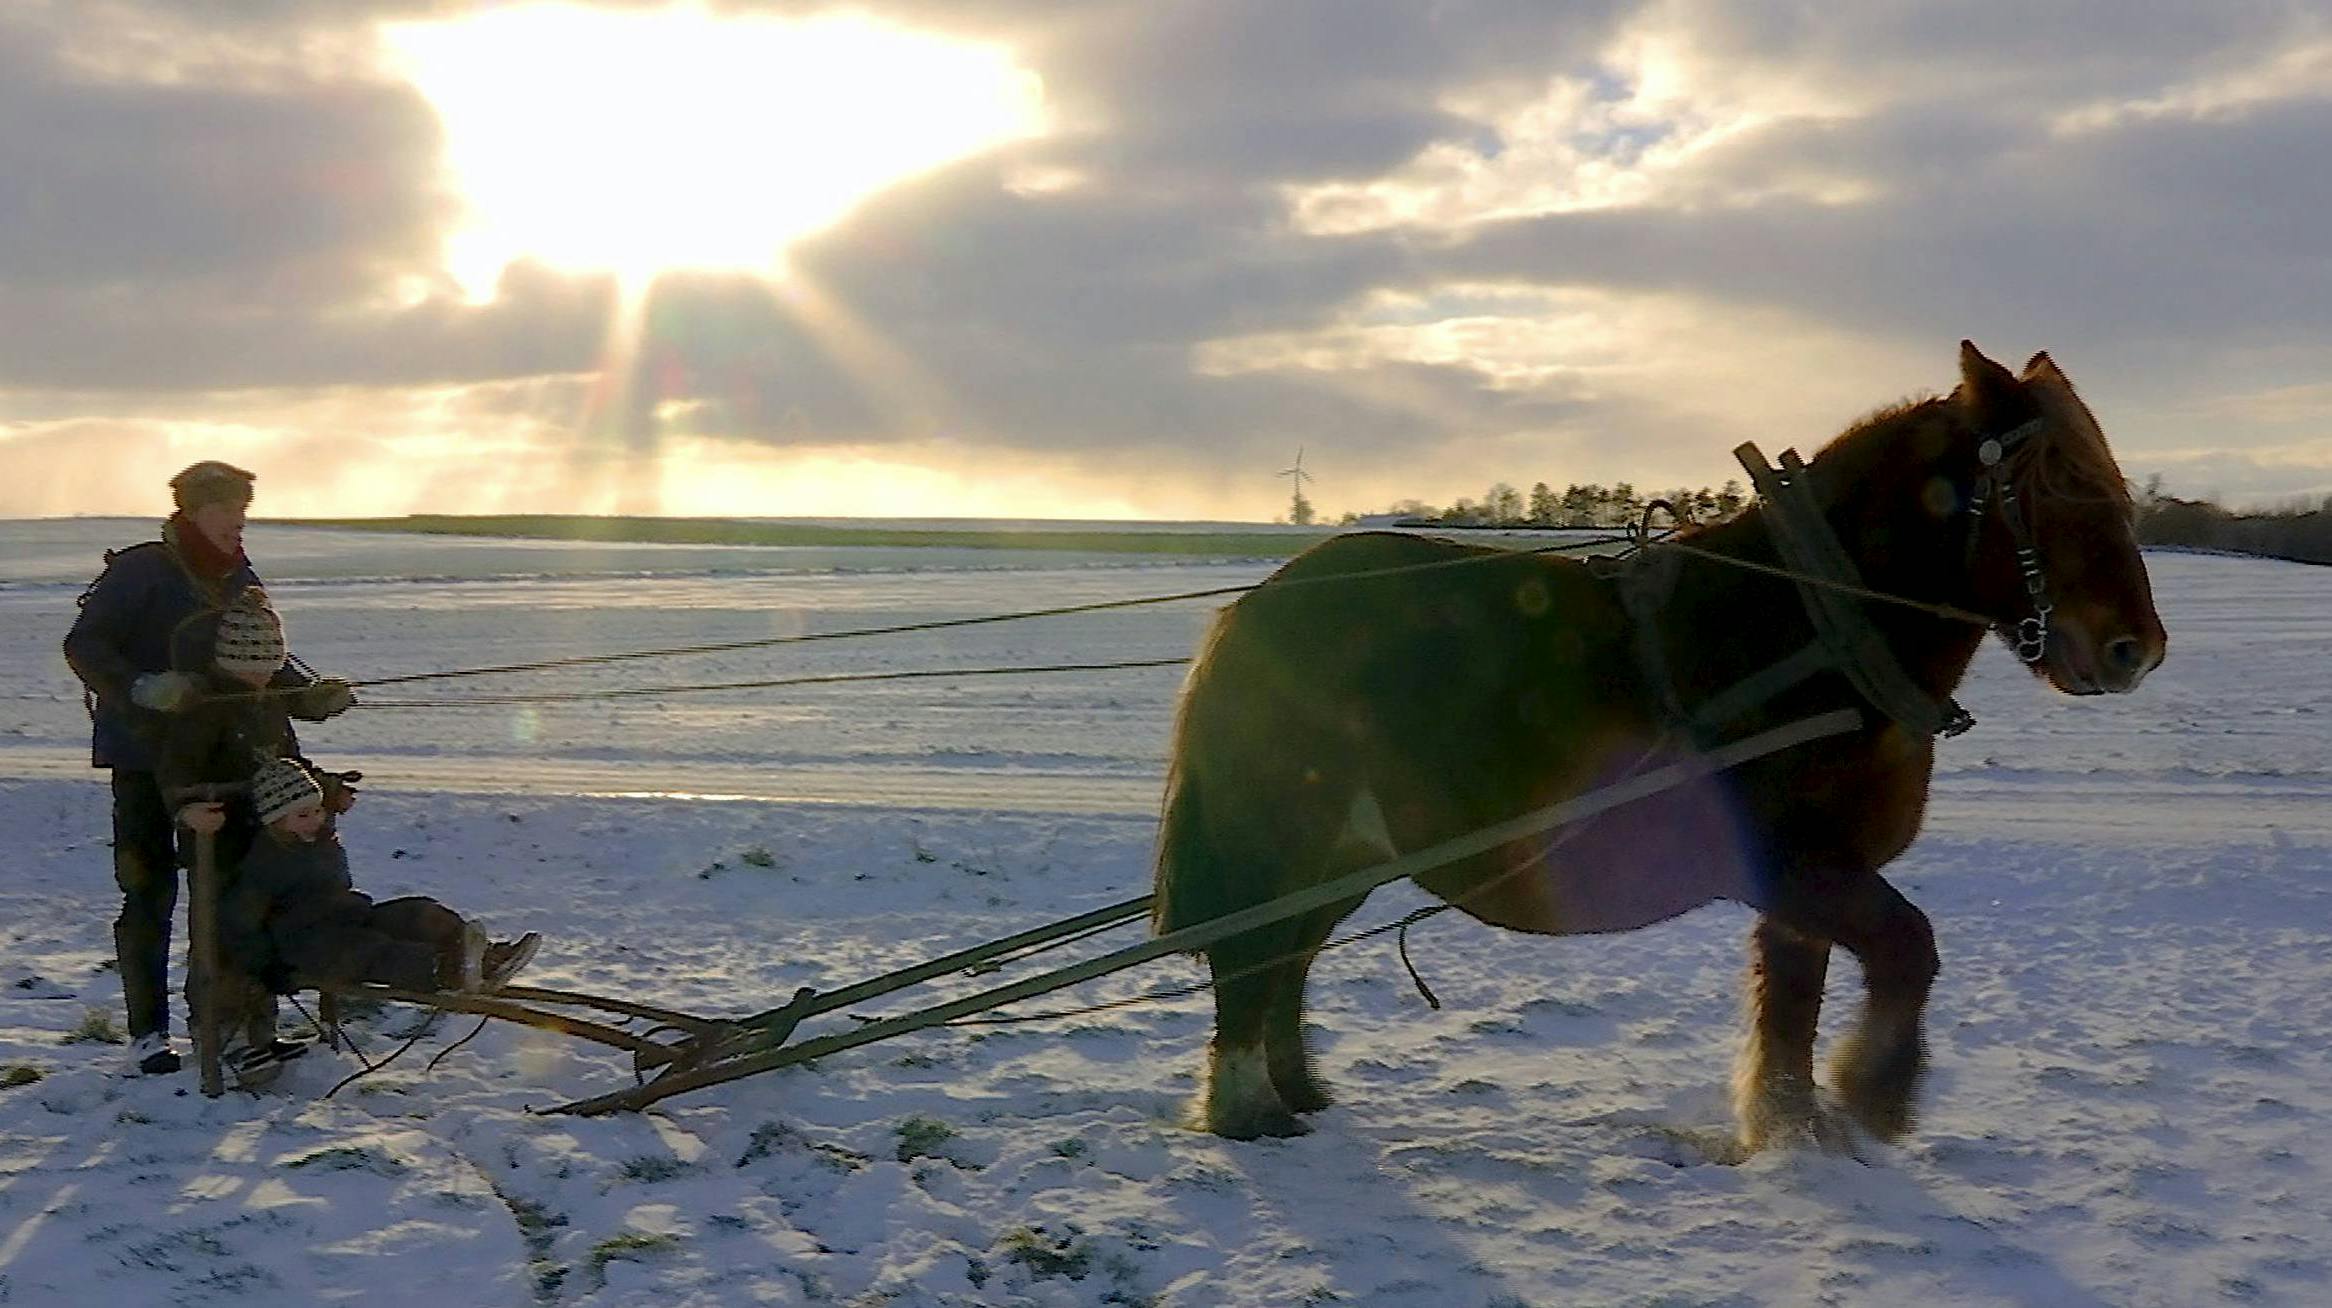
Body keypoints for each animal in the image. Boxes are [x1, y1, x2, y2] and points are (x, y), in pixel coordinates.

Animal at [1147, 342, 2164, 1147]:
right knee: (1251, 957)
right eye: (2061, 483)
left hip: (1346, 852)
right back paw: (1248, 1110)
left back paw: (1297, 1095)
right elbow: (1907, 949)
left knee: (1288, 957)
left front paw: (1793, 1132)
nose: (2136, 649)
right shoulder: (1792, 867)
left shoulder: (1811, 883)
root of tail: (1256, 606)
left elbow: (1794, 1004)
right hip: (1289, 839)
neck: (1810, 627)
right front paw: (1874, 1093)